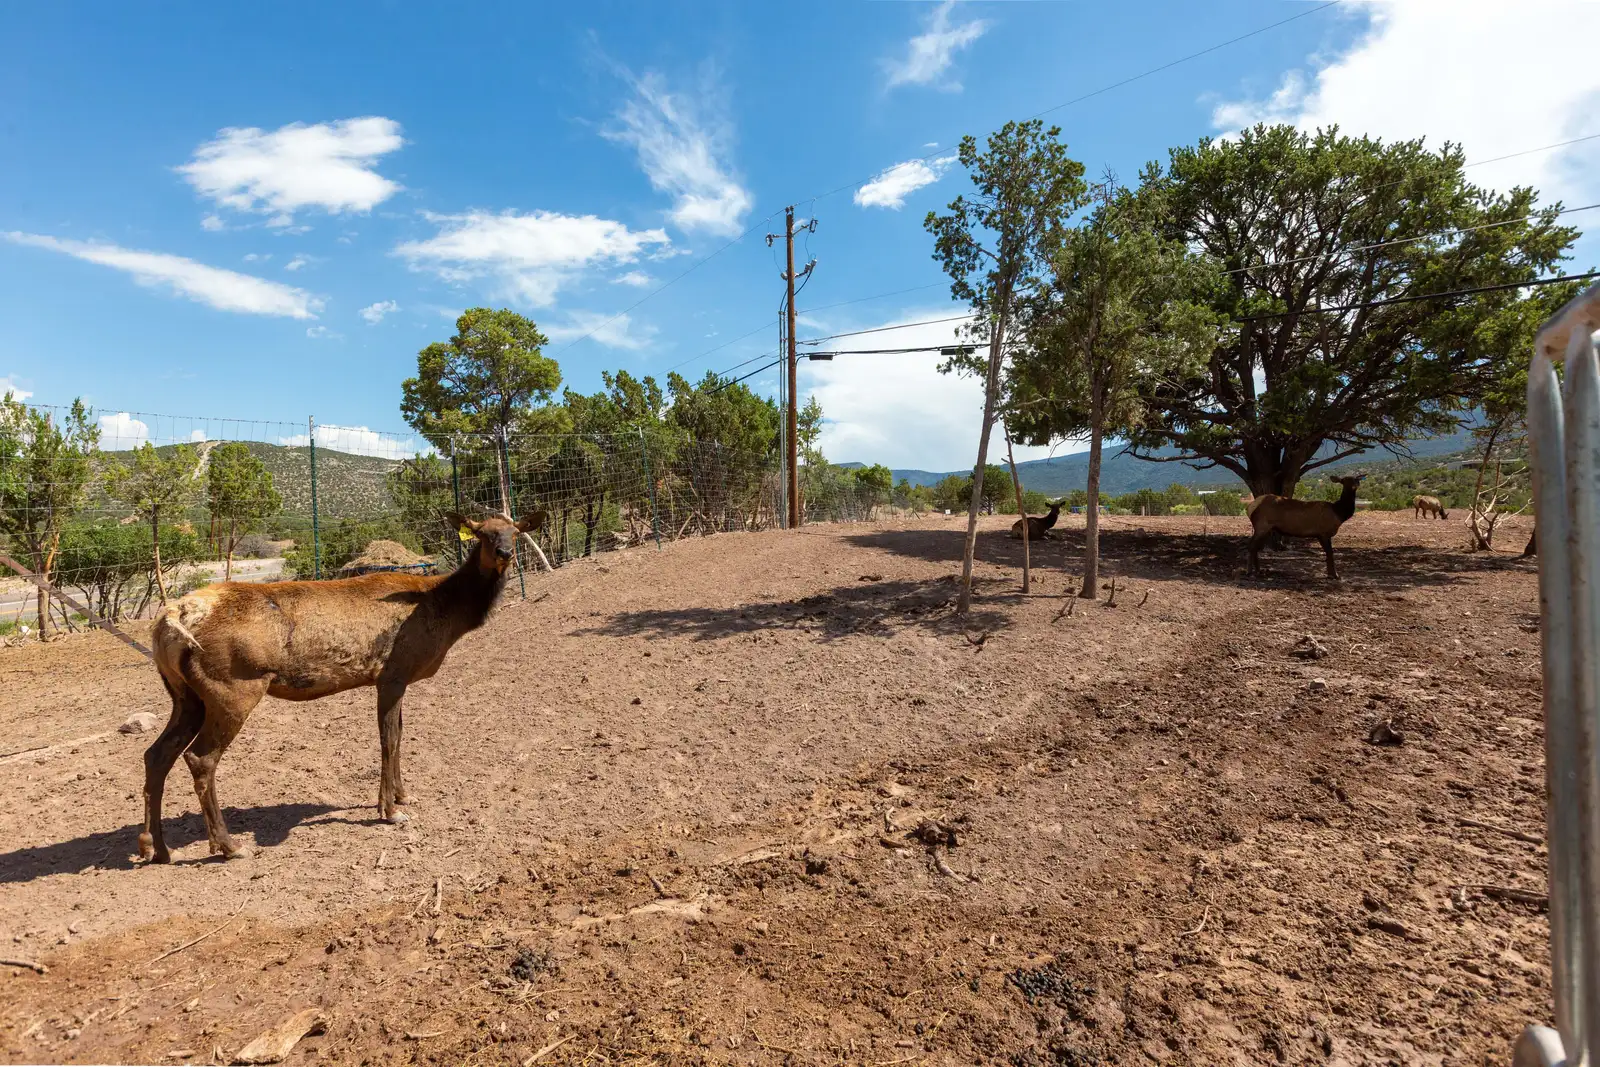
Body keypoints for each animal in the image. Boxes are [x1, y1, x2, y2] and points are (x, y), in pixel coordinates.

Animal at [137, 510, 544, 863]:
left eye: (515, 531)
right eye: (481, 533)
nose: (505, 553)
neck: (446, 613)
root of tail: (170, 619)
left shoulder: (398, 679)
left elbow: (400, 734)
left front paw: (403, 795)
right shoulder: (392, 673)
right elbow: (388, 739)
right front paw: (388, 810)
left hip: (186, 696)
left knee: (156, 754)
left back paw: (154, 847)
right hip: (233, 688)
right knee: (199, 758)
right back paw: (228, 845)